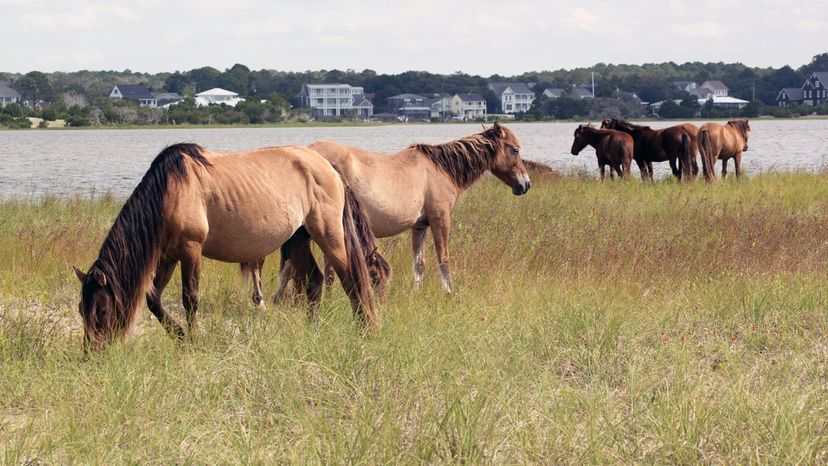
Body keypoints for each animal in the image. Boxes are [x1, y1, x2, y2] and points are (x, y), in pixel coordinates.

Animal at [73, 142, 384, 350]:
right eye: (80, 309)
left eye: (101, 310)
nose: (91, 353)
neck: (169, 193)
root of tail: (329, 167)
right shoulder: (168, 256)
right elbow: (153, 298)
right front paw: (179, 336)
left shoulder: (190, 251)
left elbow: (190, 298)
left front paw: (193, 340)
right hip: (297, 239)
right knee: (314, 281)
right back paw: (313, 330)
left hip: (329, 235)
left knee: (352, 281)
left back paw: (365, 329)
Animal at [276, 121, 532, 294]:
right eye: (515, 149)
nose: (526, 184)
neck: (440, 169)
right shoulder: (440, 221)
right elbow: (443, 259)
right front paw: (449, 292)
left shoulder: (420, 227)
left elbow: (419, 264)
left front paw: (417, 293)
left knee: (290, 268)